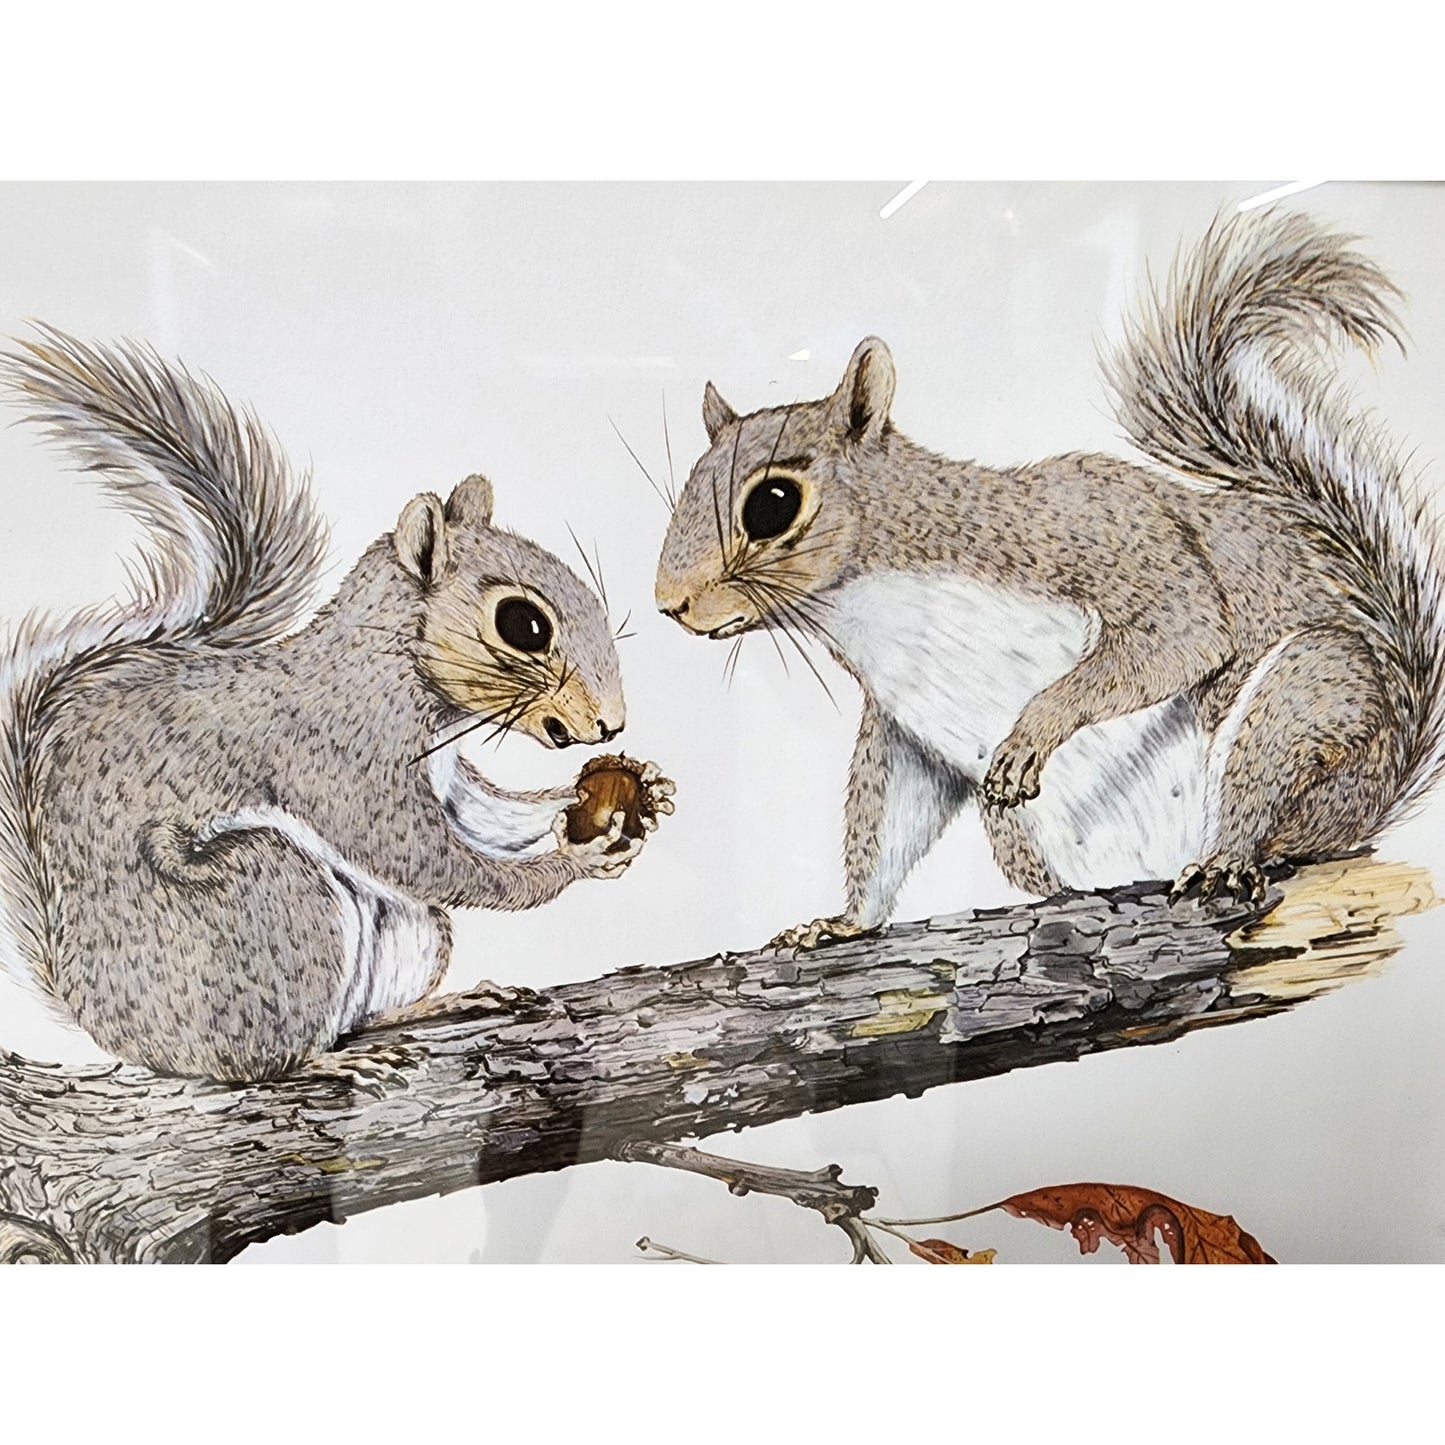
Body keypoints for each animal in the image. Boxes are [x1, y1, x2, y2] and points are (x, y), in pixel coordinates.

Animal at [0, 327, 673, 1079]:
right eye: (522, 624)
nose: (610, 723)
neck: (391, 673)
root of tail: (118, 1028)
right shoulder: (343, 761)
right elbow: (428, 857)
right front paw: (569, 863)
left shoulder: (443, 773)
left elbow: (487, 814)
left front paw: (615, 791)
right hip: (271, 897)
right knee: (257, 1058)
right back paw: (317, 1063)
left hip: (407, 926)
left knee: (357, 1010)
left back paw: (428, 1007)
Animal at [654, 209, 1445, 949]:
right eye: (689, 482)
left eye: (773, 503)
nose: (669, 604)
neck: (875, 607)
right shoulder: (902, 729)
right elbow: (887, 818)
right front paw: (845, 923)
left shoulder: (1100, 530)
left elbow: (1184, 628)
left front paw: (1035, 728)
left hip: (1306, 698)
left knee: (1273, 799)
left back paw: (1228, 858)